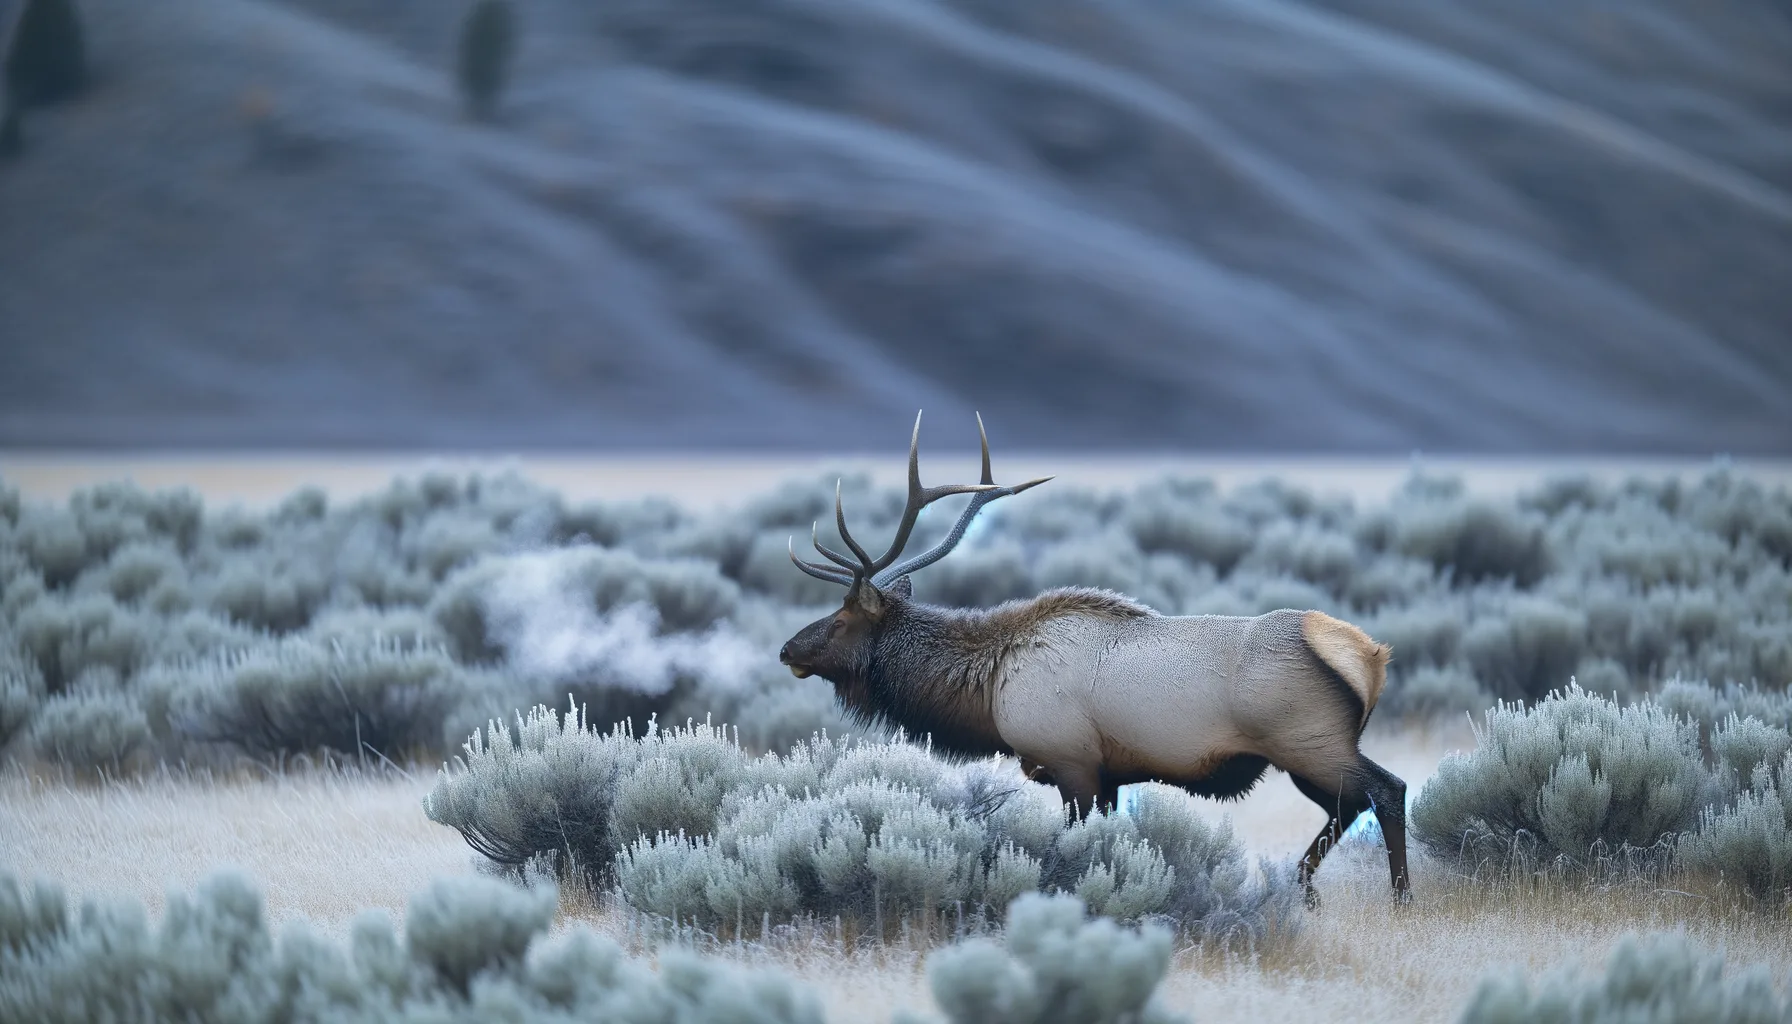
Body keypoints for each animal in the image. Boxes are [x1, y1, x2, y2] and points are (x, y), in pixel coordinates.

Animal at [778, 412, 1410, 904]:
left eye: (841, 619)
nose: (787, 648)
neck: (988, 688)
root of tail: (1372, 656)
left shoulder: (1071, 761)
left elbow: (1072, 843)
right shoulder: (1110, 775)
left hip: (1310, 741)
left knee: (1386, 789)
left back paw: (1398, 896)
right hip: (1305, 754)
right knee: (1348, 806)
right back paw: (1301, 886)